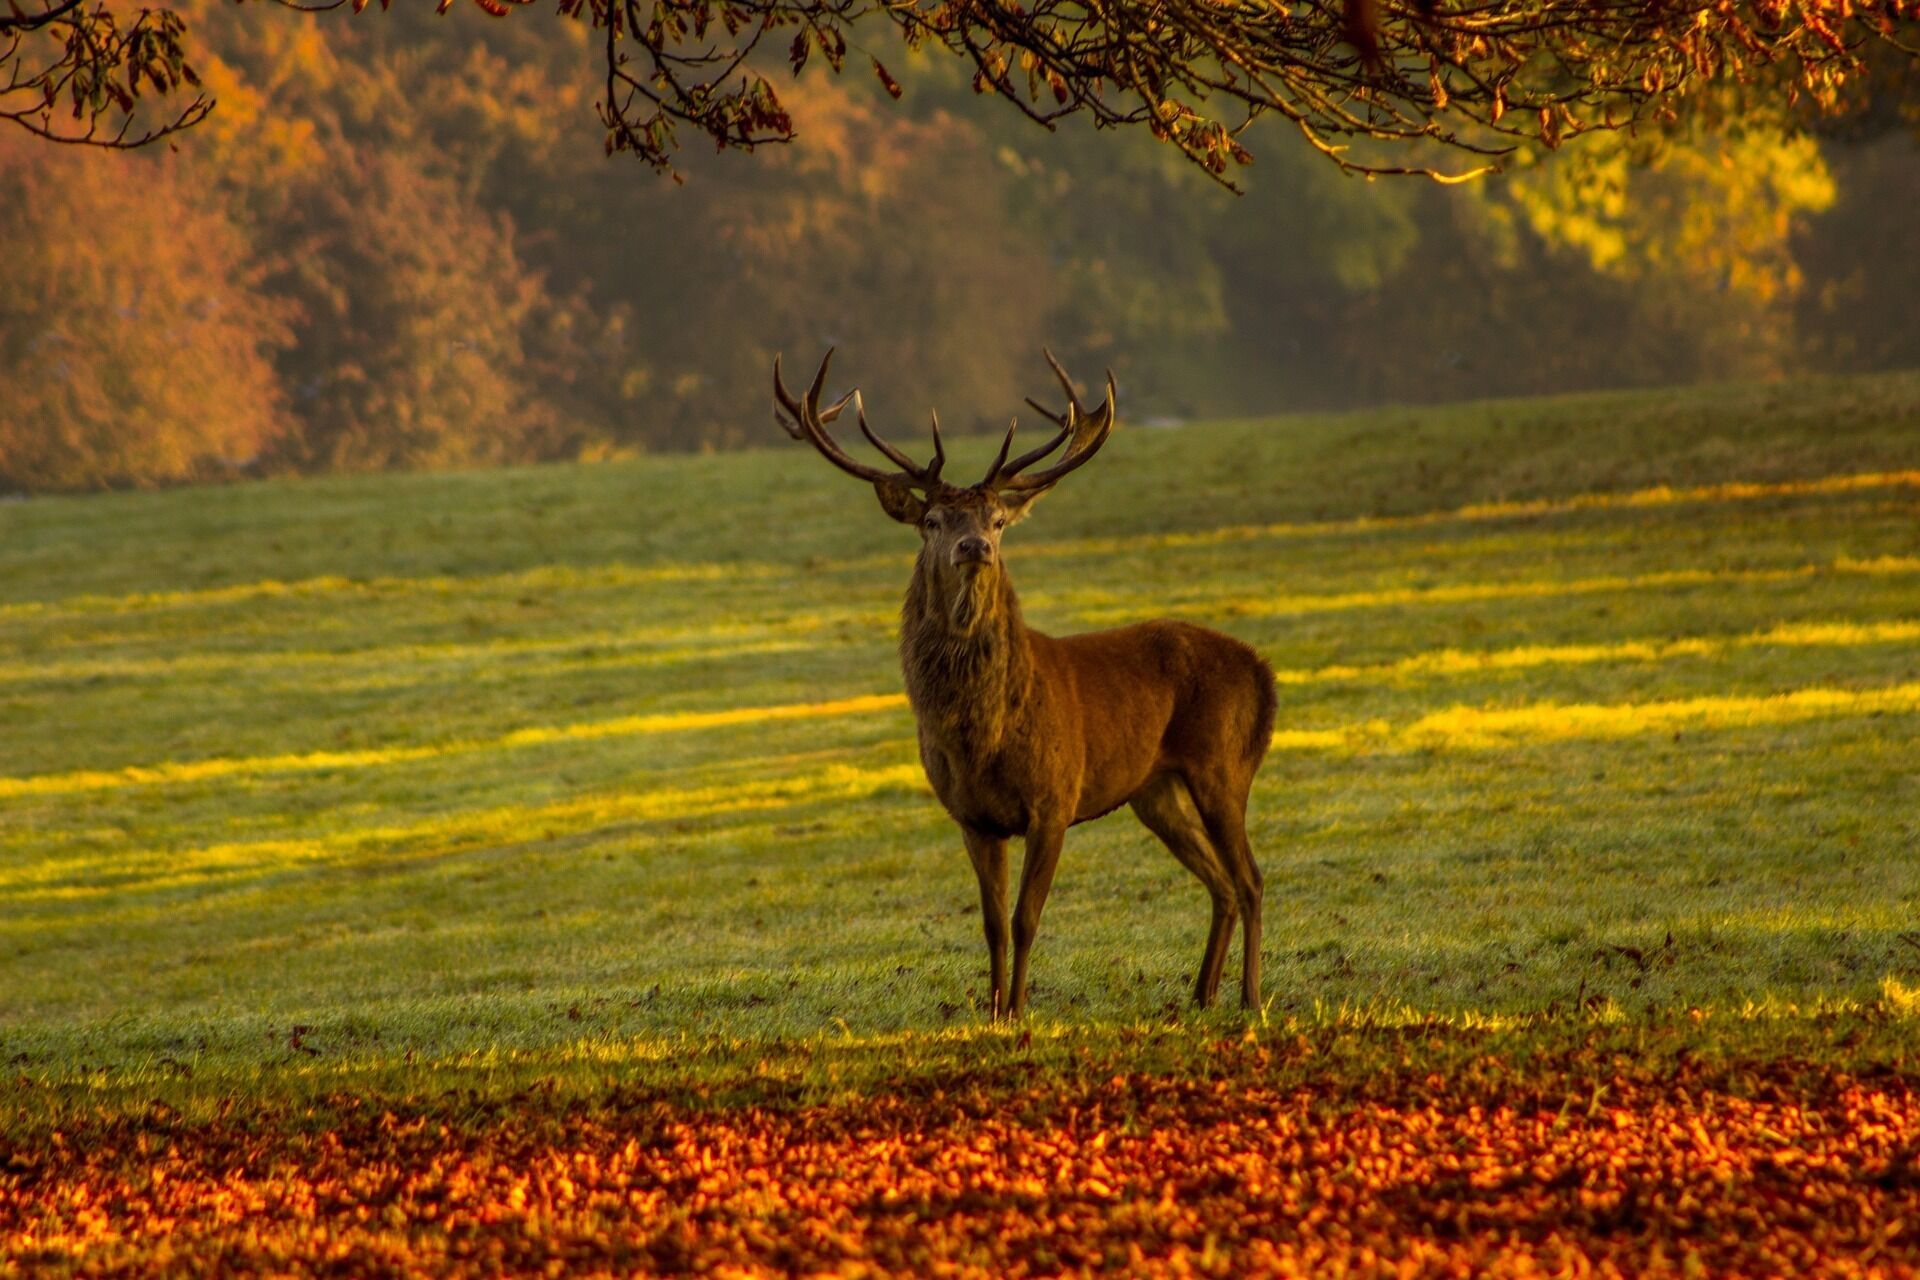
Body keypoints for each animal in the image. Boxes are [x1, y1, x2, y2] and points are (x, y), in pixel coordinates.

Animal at [773, 350, 1277, 1018]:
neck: (982, 736)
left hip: (1223, 765)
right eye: (931, 519)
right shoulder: (971, 816)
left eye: (997, 519)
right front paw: (991, 1011)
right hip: (1155, 790)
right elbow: (990, 922)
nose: (974, 546)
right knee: (1220, 882)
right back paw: (1200, 994)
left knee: (1250, 878)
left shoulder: (1055, 799)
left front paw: (1017, 1010)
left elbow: (1025, 918)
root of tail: (1263, 672)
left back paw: (1249, 997)